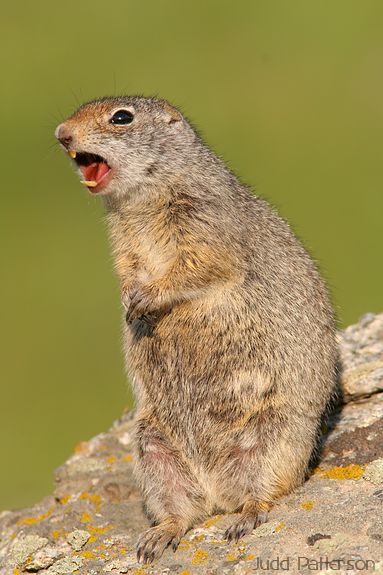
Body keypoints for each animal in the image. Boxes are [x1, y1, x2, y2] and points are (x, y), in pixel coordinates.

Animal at [55, 97, 338, 564]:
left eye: (121, 117)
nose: (61, 133)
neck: (139, 202)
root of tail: (218, 492)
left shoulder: (202, 219)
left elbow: (198, 263)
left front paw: (146, 299)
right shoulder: (122, 242)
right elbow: (127, 267)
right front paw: (129, 300)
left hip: (272, 437)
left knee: (264, 492)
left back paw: (244, 517)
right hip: (154, 451)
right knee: (180, 511)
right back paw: (158, 537)